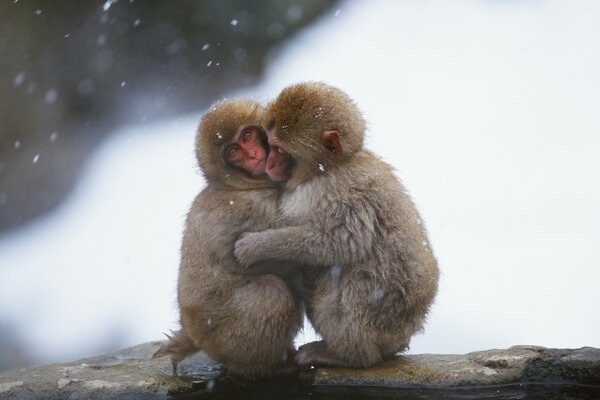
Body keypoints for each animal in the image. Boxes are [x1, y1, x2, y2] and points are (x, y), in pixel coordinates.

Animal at [154, 99, 304, 378]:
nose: (254, 155)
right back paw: (268, 366)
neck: (239, 186)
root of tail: (192, 334)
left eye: (247, 136)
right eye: (233, 151)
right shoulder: (252, 207)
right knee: (269, 294)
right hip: (223, 334)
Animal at [234, 81, 440, 368]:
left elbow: (343, 242)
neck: (327, 169)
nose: (270, 164)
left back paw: (347, 355)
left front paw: (257, 246)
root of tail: (403, 335)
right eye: (269, 144)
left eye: (280, 150)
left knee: (348, 279)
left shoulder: (342, 192)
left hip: (379, 317)